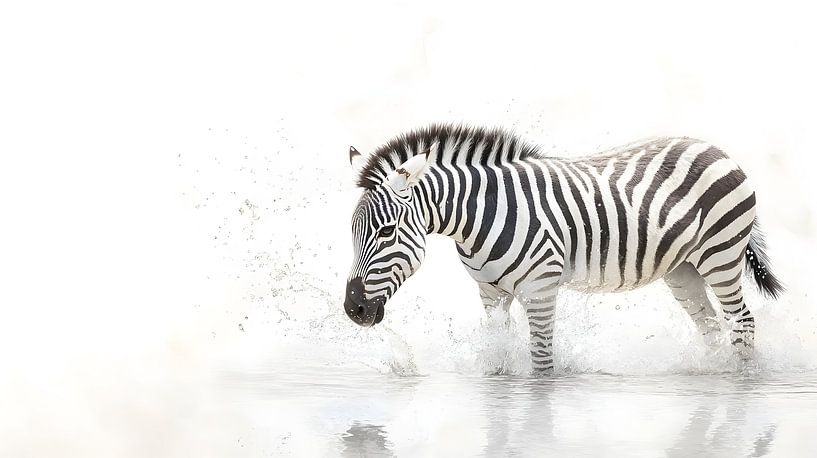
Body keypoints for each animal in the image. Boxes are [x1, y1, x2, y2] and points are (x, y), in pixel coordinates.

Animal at [343, 124, 783, 372]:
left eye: (386, 232)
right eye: (352, 233)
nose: (353, 309)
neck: (479, 216)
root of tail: (714, 148)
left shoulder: (540, 289)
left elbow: (541, 362)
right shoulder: (490, 293)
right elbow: (498, 359)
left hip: (720, 256)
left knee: (742, 321)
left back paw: (742, 377)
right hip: (682, 270)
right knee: (710, 327)